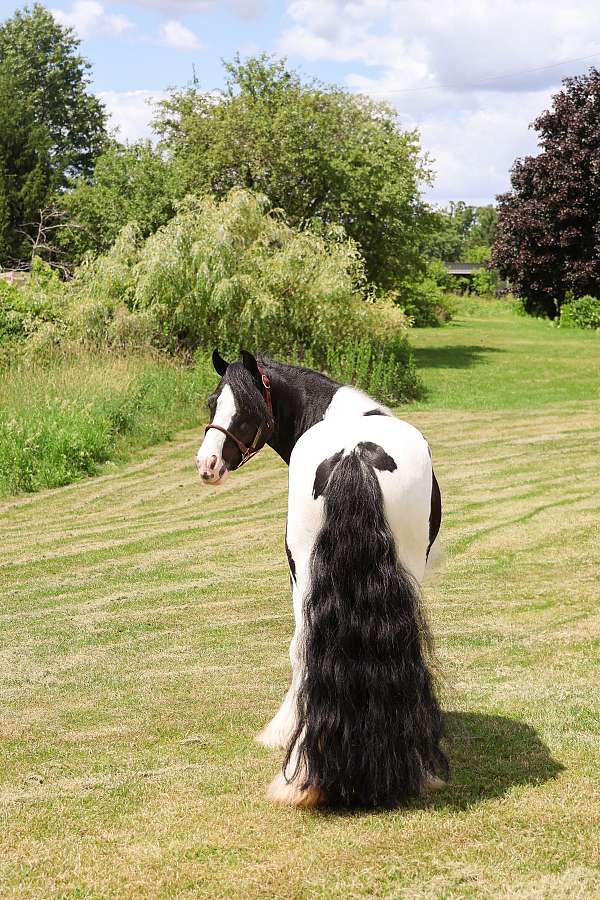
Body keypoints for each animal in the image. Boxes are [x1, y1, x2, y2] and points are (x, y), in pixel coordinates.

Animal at [196, 349, 448, 808]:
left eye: (246, 409)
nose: (207, 465)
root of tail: (354, 454)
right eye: (212, 403)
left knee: (303, 645)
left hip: (305, 571)